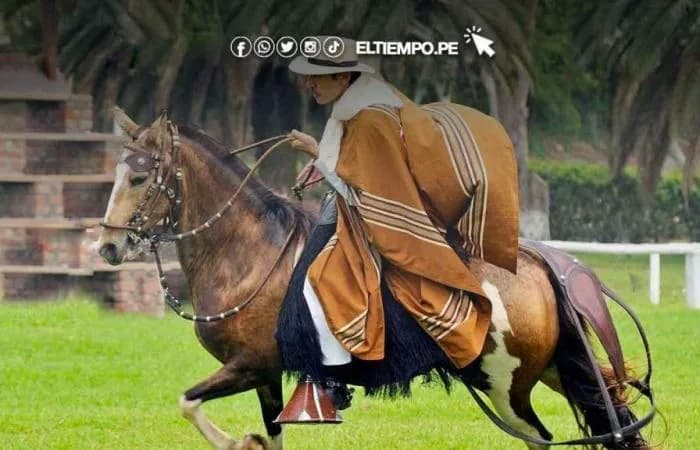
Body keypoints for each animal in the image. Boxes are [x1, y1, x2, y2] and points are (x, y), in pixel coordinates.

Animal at [97, 109, 649, 450]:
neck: (251, 253)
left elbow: (188, 403)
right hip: (550, 369)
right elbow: (265, 434)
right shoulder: (267, 377)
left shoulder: (250, 365)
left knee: (541, 437)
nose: (107, 246)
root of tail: (535, 267)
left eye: (140, 178)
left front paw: (239, 441)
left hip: (504, 385)